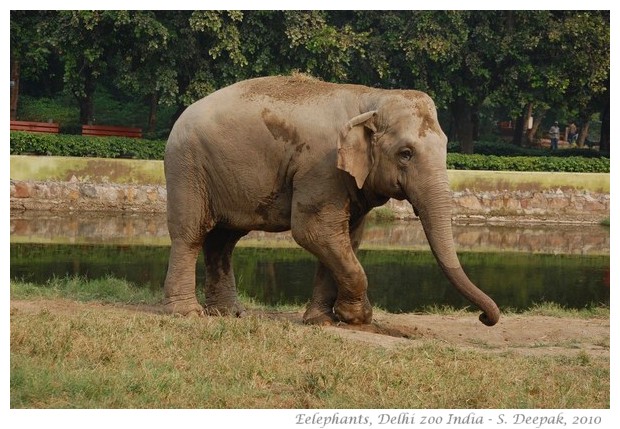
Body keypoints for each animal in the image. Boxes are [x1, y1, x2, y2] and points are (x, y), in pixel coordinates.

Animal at [163, 75, 498, 326]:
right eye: (406, 153)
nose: (484, 318)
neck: (371, 98)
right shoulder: (321, 166)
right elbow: (315, 231)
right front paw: (358, 317)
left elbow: (345, 237)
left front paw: (322, 320)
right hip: (188, 167)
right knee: (191, 234)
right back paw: (188, 314)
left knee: (223, 241)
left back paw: (228, 314)